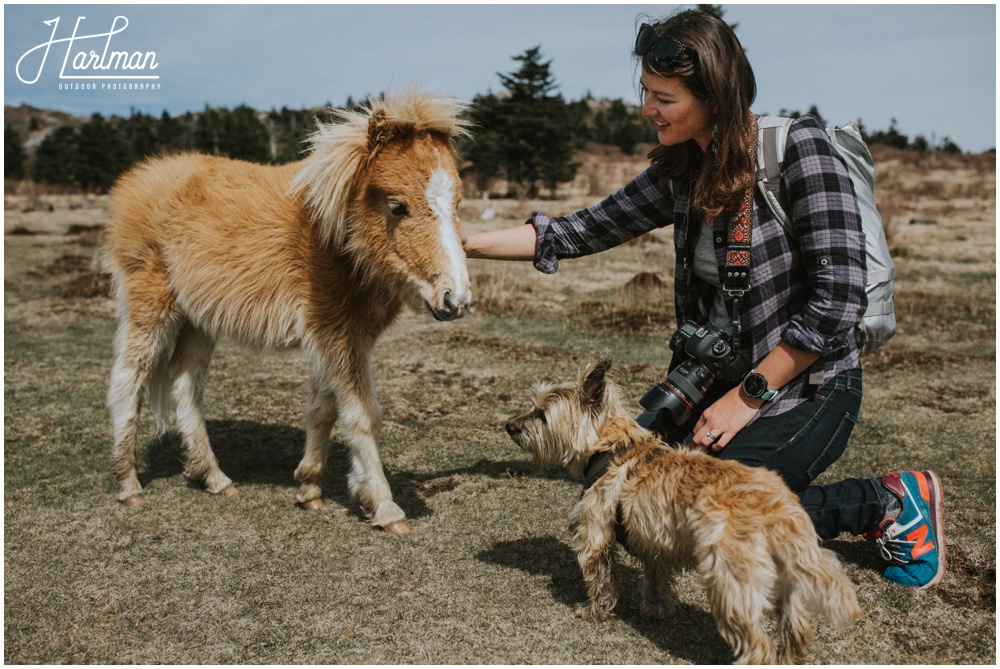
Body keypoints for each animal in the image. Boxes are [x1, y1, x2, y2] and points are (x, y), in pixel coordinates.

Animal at [103, 92, 470, 532]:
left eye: (457, 204)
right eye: (397, 206)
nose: (456, 300)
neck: (334, 237)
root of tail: (135, 180)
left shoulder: (337, 338)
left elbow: (323, 409)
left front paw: (310, 488)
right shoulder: (337, 335)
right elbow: (362, 415)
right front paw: (384, 507)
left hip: (198, 321)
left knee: (185, 387)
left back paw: (215, 478)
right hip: (151, 310)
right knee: (128, 384)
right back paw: (129, 487)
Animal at [504, 354, 864, 664]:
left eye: (542, 415)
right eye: (533, 406)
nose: (510, 426)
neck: (612, 447)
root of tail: (779, 510)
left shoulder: (595, 536)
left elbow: (600, 579)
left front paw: (595, 611)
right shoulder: (654, 541)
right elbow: (655, 577)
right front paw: (657, 610)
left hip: (729, 581)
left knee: (758, 644)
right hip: (786, 582)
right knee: (797, 629)